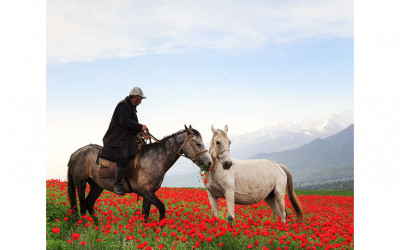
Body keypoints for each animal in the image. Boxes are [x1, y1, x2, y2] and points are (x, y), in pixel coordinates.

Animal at [67, 125, 212, 221]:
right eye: (198, 143)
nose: (209, 163)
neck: (155, 159)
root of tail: (75, 153)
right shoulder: (145, 191)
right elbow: (162, 208)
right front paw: (160, 229)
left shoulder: (149, 193)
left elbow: (145, 214)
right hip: (80, 183)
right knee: (82, 205)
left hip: (97, 186)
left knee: (89, 203)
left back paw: (96, 226)